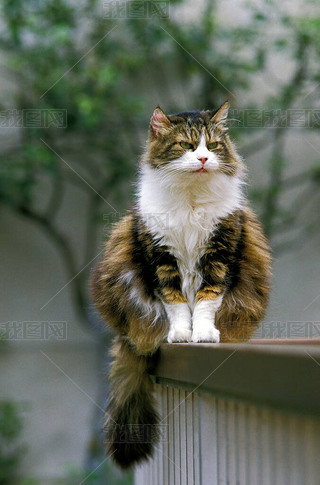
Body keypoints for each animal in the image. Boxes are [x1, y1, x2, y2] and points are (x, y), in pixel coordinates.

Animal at [91, 102, 272, 468]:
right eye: (188, 146)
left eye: (212, 146)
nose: (202, 159)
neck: (191, 200)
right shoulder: (162, 259)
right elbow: (175, 305)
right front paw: (180, 335)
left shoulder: (218, 256)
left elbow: (204, 301)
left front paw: (203, 334)